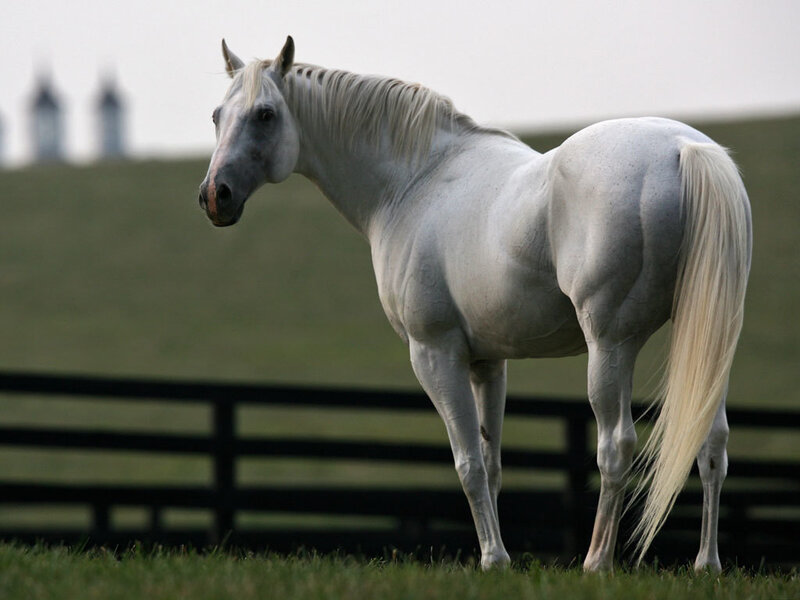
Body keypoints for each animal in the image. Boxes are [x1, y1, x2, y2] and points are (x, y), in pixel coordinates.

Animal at [198, 36, 751, 572]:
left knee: (616, 446)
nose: (214, 196)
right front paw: (498, 559)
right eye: (217, 115)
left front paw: (493, 558)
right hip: (709, 342)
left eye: (265, 114)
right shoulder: (488, 362)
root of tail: (684, 149)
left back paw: (597, 563)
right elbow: (490, 463)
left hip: (610, 346)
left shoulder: (435, 354)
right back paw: (707, 565)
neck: (413, 183)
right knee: (712, 443)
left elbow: (466, 462)